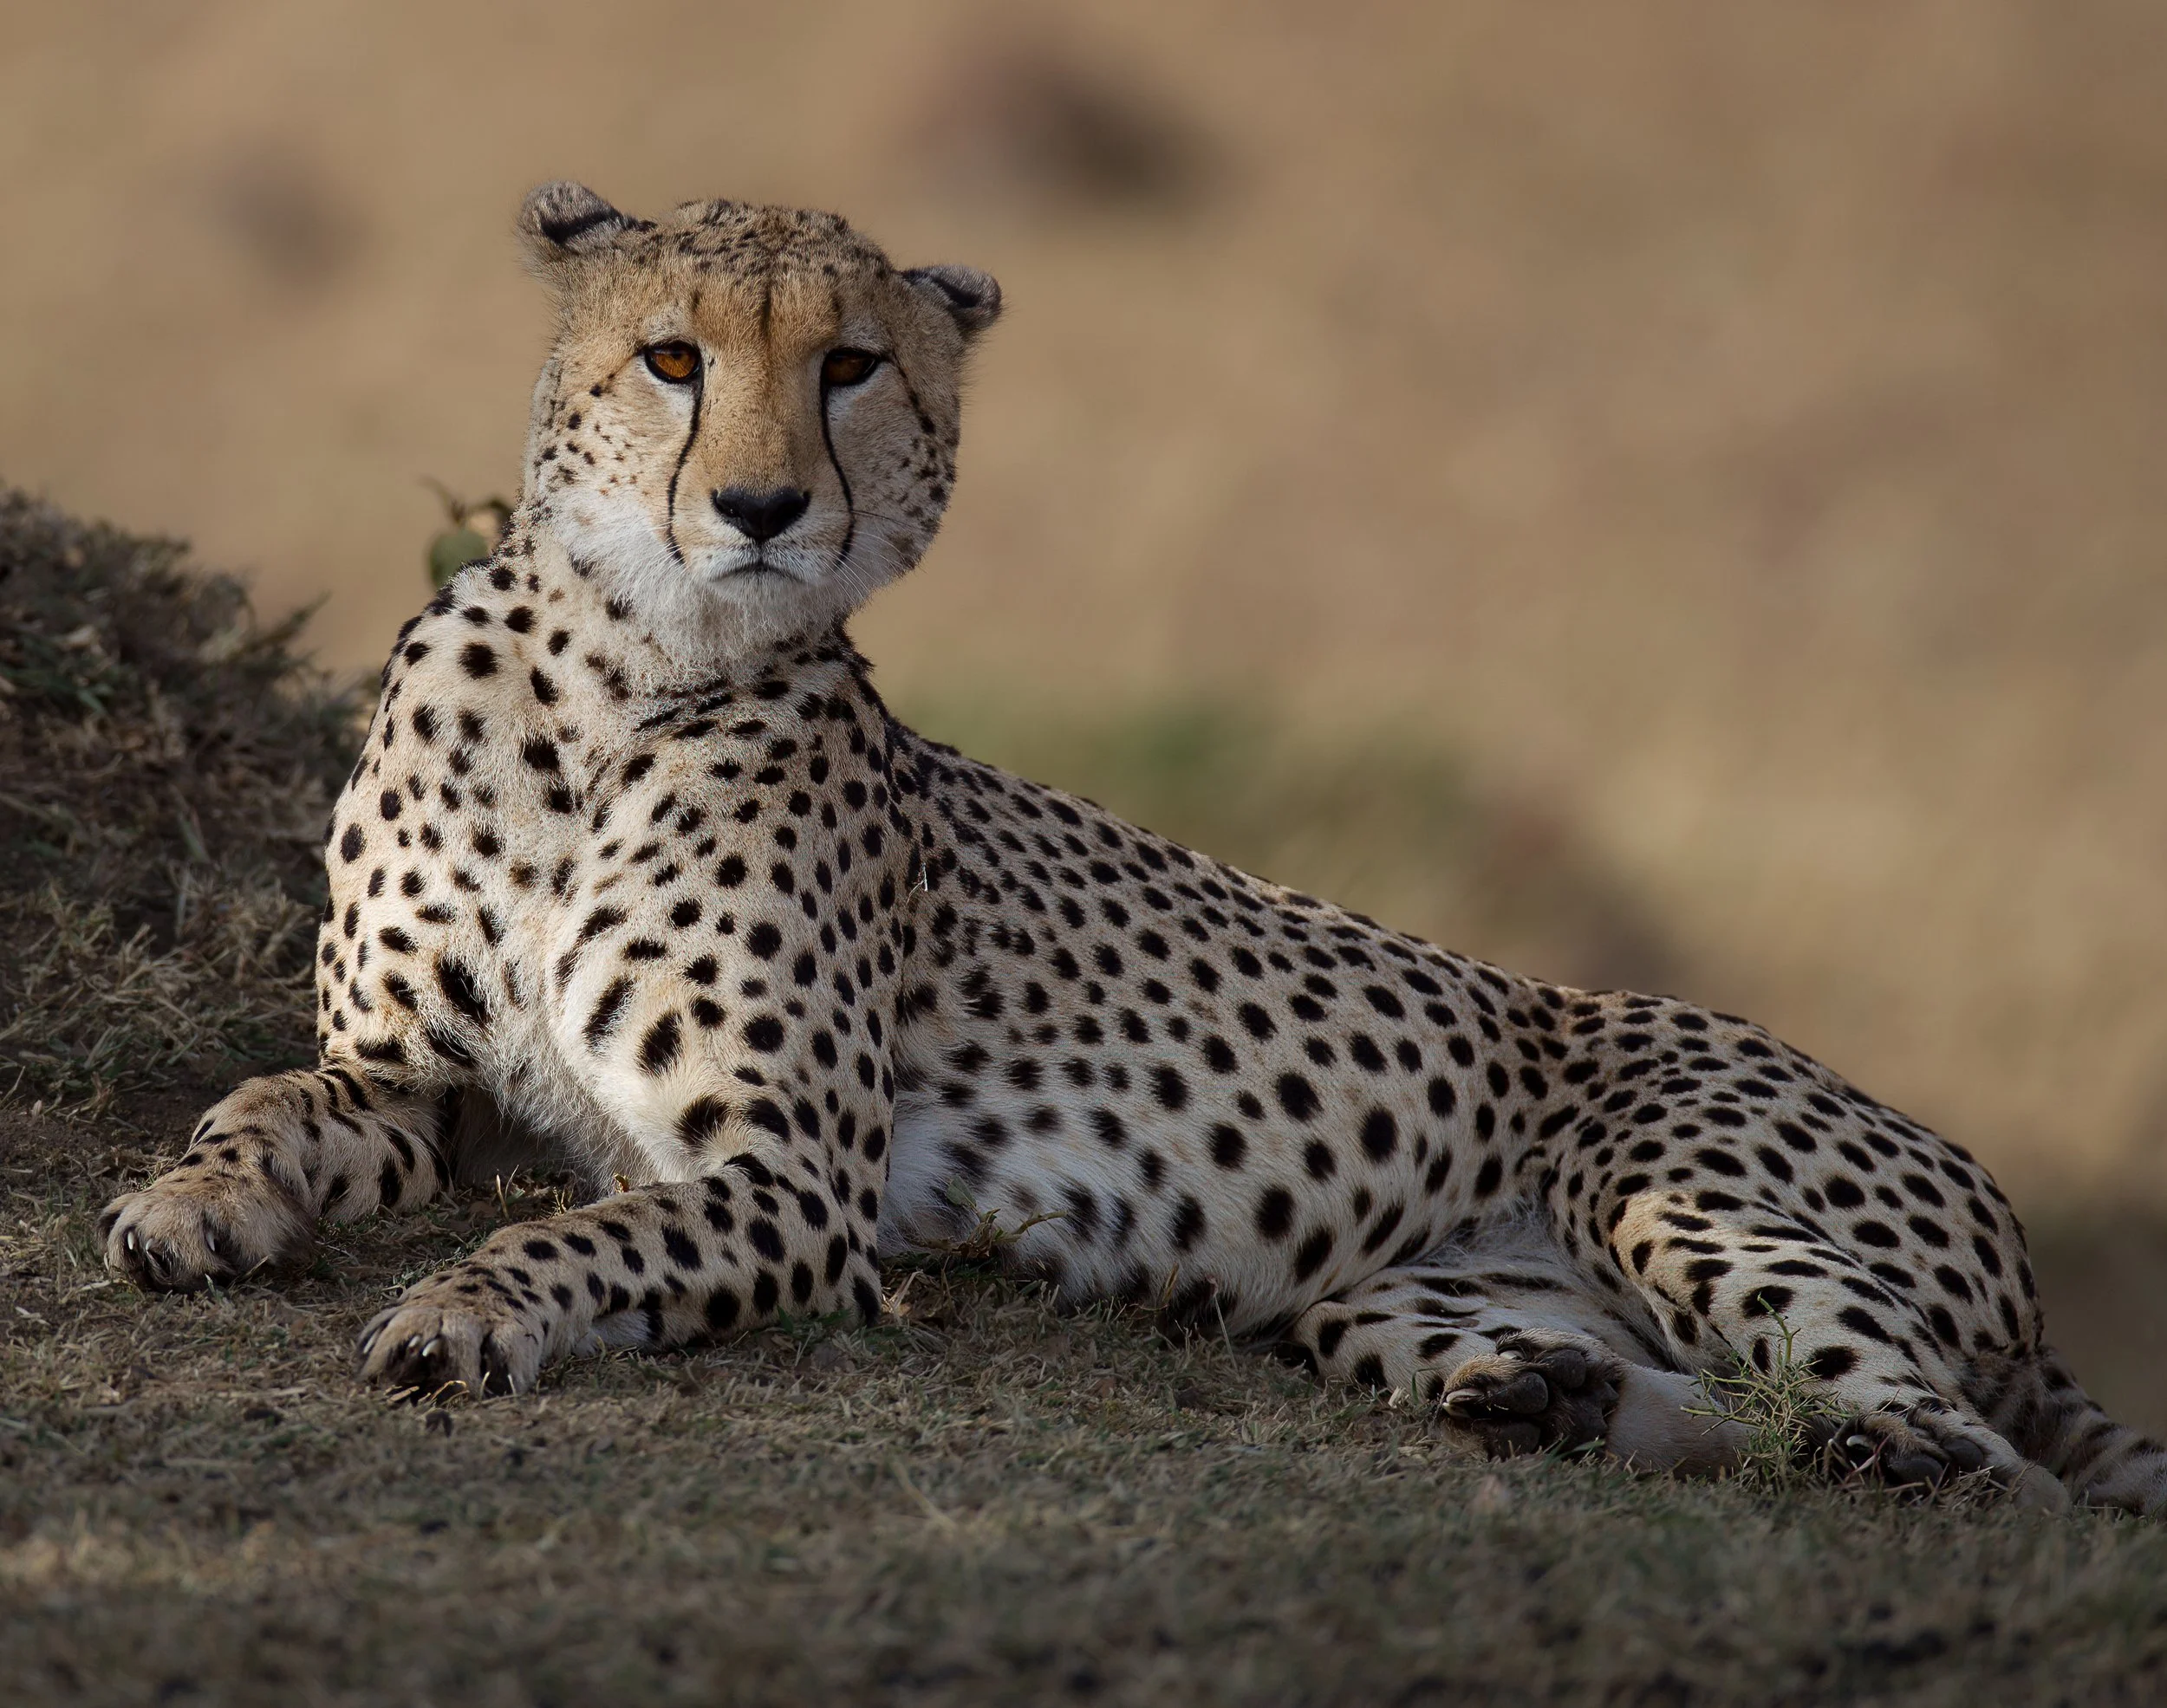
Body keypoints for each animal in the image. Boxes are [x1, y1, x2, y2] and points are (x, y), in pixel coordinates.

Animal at [99, 181, 2166, 1514]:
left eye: (852, 366)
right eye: (672, 358)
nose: (761, 506)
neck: (616, 679)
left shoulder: (792, 1178)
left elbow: (589, 1225)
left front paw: (465, 1307)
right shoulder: (416, 1073)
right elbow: (277, 1101)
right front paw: (194, 1200)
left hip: (1679, 1191)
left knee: (1969, 1454)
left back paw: (1880, 1449)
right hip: (1387, 1293)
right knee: (1686, 1398)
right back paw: (1546, 1398)